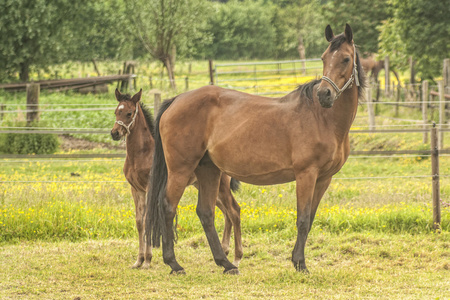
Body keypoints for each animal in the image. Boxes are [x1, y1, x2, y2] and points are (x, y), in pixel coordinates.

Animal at [110, 89, 243, 270]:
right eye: (116, 111)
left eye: (129, 113)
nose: (115, 133)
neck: (141, 154)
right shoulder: (136, 189)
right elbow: (139, 222)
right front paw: (138, 261)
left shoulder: (149, 188)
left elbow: (147, 219)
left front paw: (147, 260)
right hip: (205, 187)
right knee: (226, 213)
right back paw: (225, 251)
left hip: (221, 186)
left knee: (234, 210)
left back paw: (236, 258)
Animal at [147, 24, 366, 274]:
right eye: (324, 58)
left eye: (346, 59)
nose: (324, 94)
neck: (322, 118)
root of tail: (175, 100)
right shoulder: (306, 174)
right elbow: (302, 219)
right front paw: (300, 263)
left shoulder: (323, 178)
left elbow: (310, 219)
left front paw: (297, 260)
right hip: (181, 170)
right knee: (168, 206)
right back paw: (174, 263)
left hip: (208, 170)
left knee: (206, 212)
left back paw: (226, 263)